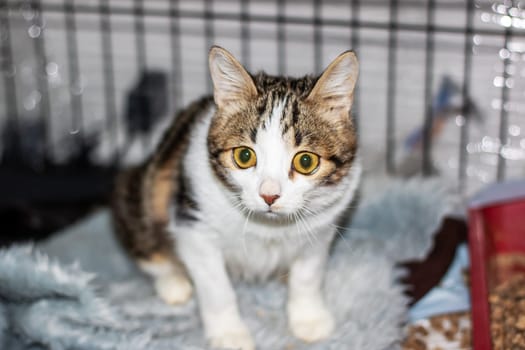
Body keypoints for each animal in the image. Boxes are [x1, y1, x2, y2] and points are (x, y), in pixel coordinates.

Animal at [111, 46, 360, 350]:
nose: (269, 195)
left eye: (305, 161)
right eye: (244, 156)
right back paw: (173, 282)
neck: (268, 226)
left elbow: (308, 275)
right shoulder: (193, 226)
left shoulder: (323, 225)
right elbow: (216, 288)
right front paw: (229, 334)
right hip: (143, 188)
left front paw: (309, 318)